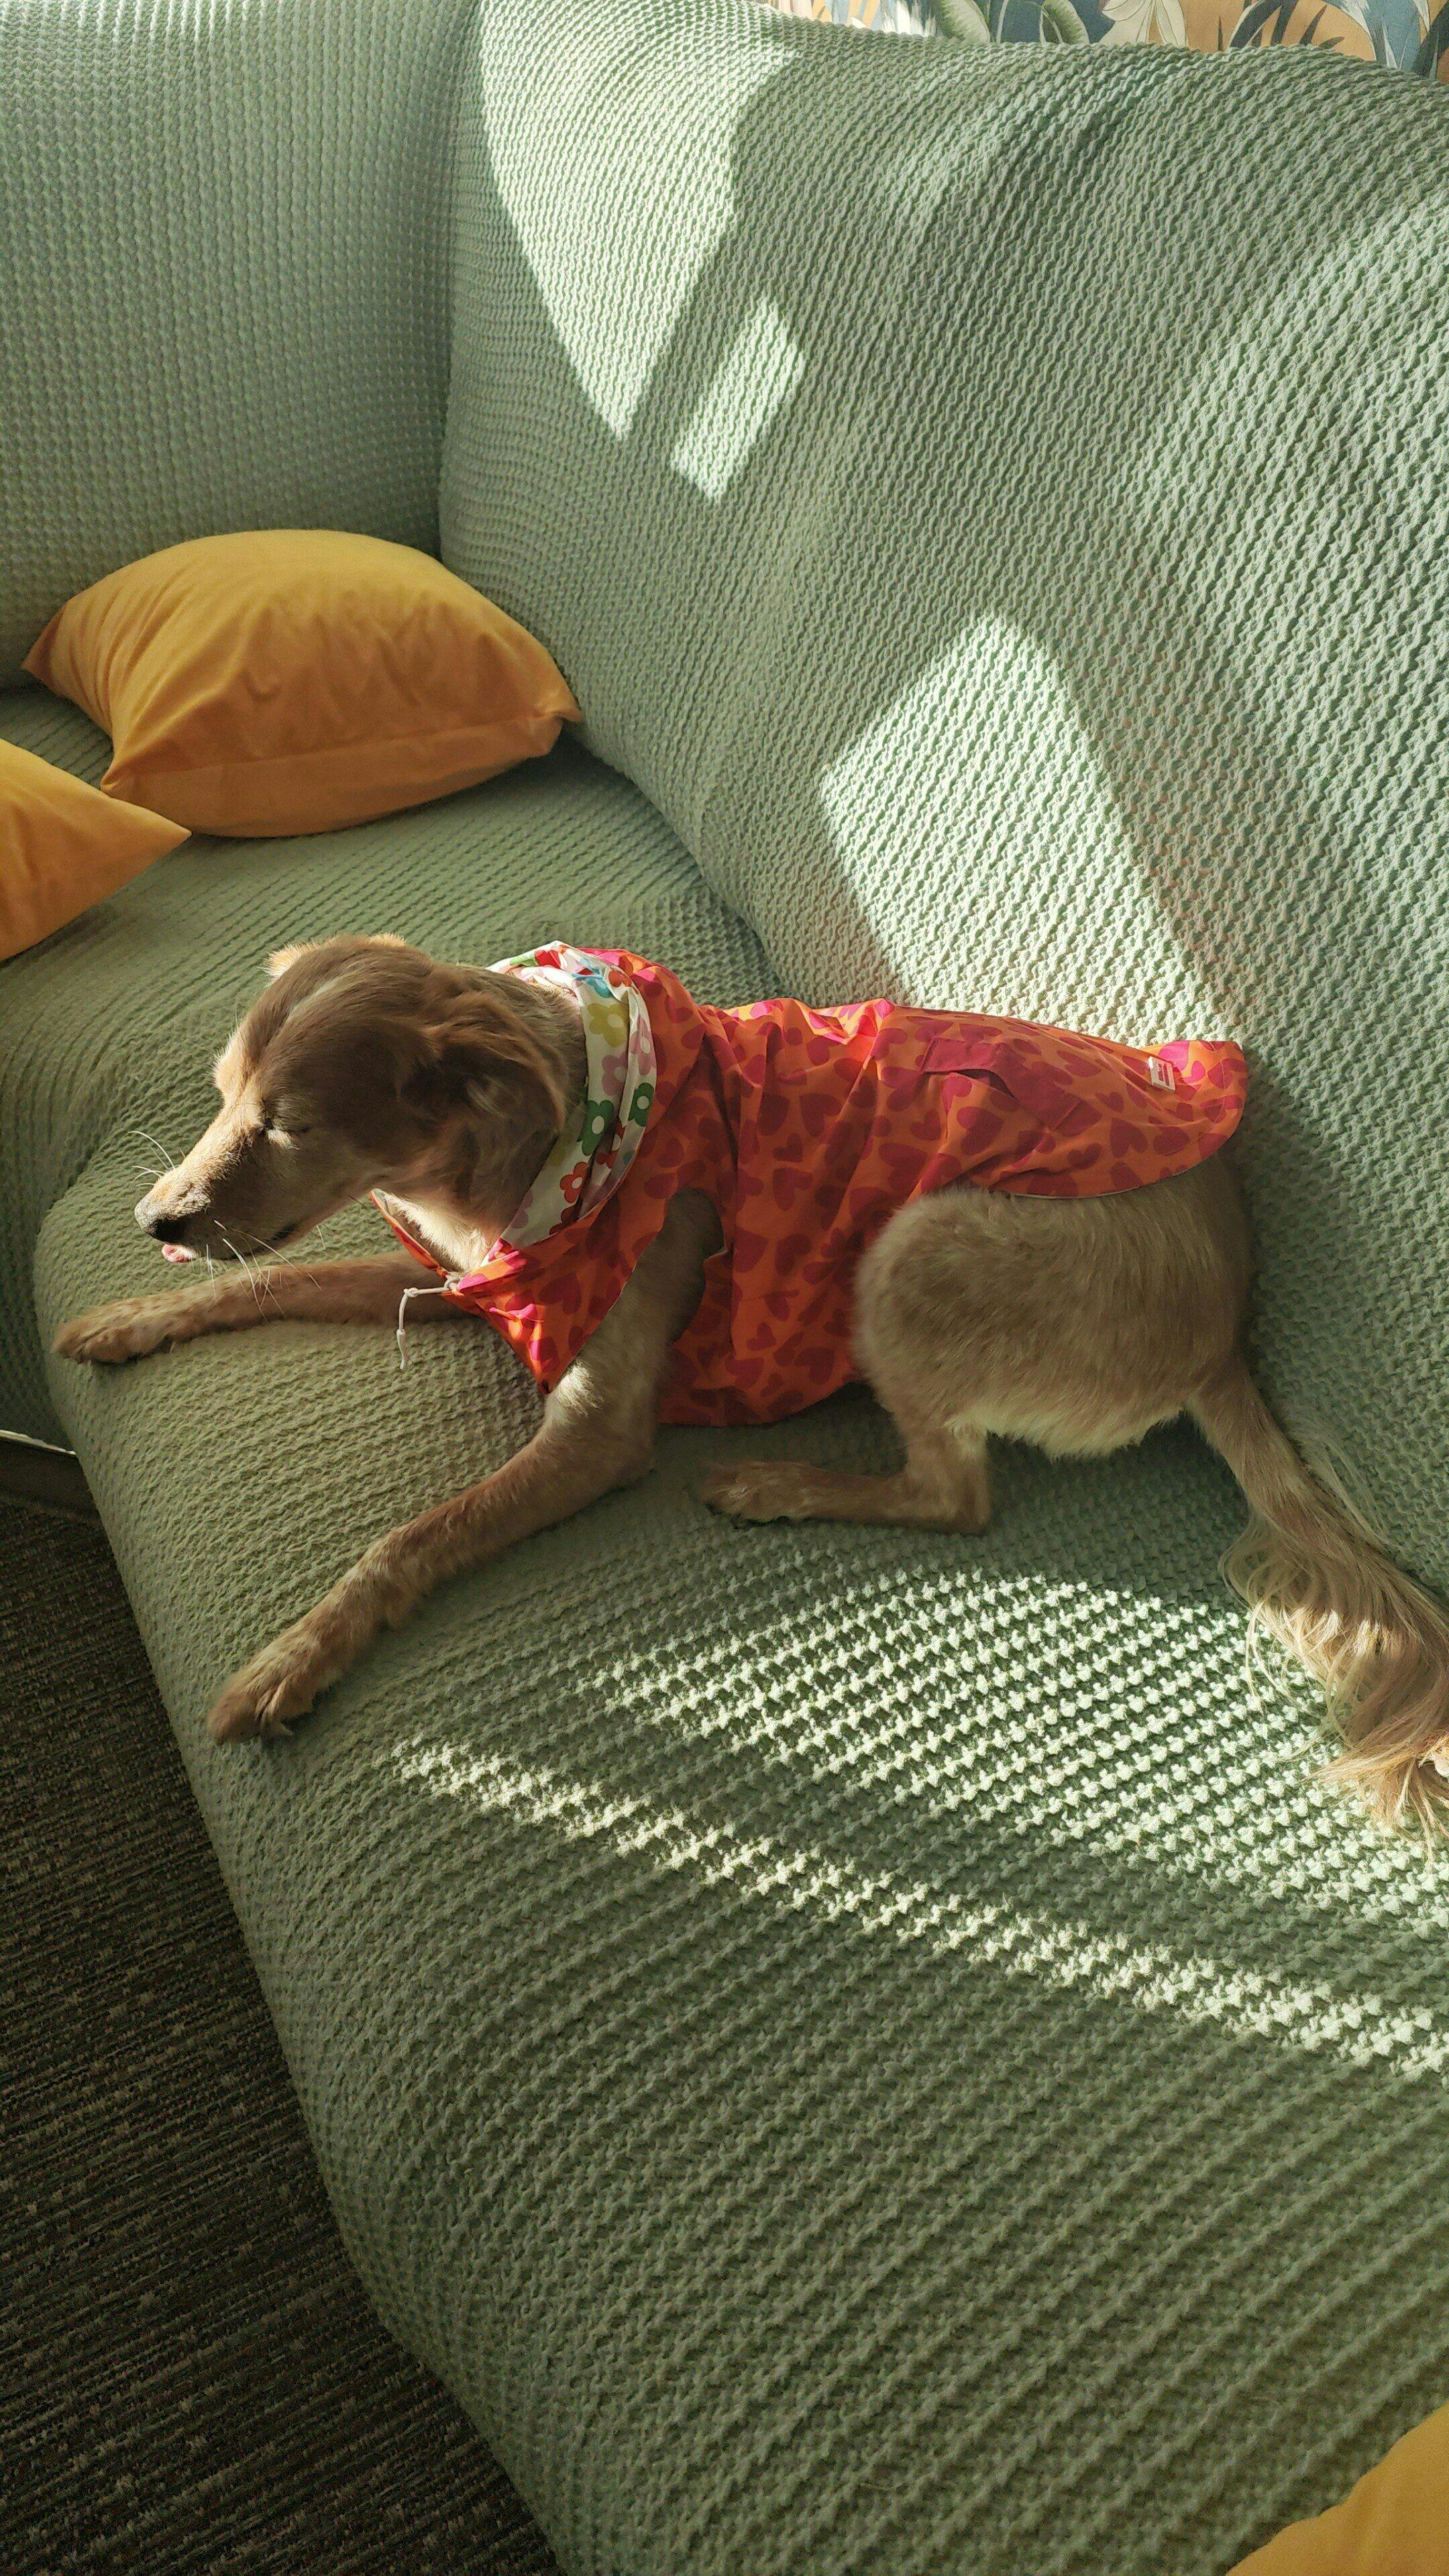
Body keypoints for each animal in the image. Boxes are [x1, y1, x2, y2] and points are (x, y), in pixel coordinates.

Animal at [54, 934, 1449, 1827]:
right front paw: (130, 1317)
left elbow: (408, 1540)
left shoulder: (598, 1428)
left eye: (291, 1125)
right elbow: (264, 1285)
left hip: (916, 1243)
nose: (152, 1219)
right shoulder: (459, 1279)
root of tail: (1231, 1323)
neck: (541, 1147)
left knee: (956, 1498)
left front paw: (293, 1661)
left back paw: (777, 1485)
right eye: (222, 1096)